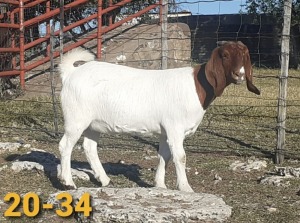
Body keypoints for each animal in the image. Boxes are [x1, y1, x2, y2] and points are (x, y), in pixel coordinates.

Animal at [58, 40, 260, 192]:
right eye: (225, 55)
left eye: (245, 55)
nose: (240, 74)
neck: (197, 86)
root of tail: (71, 74)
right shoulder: (175, 128)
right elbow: (180, 156)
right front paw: (186, 188)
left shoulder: (166, 130)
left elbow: (165, 155)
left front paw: (160, 185)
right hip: (76, 118)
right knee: (65, 145)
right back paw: (68, 183)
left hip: (93, 123)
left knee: (89, 147)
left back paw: (105, 180)